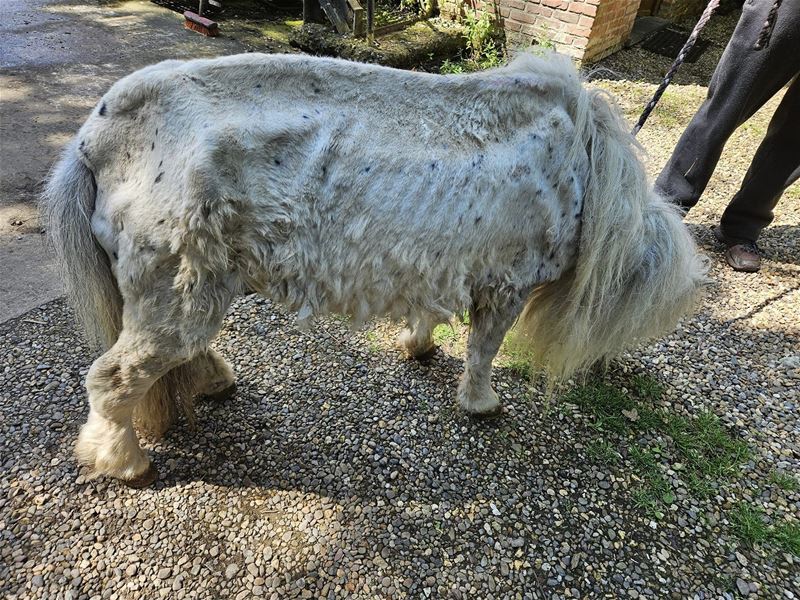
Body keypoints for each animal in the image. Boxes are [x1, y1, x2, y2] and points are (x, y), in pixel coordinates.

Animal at [42, 52, 706, 487]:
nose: (617, 369)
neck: (588, 168)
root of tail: (92, 141)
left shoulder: (442, 260)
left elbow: (432, 312)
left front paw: (419, 347)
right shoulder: (508, 281)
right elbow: (484, 347)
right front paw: (482, 403)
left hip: (194, 282)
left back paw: (212, 382)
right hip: (176, 274)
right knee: (113, 376)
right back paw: (126, 463)